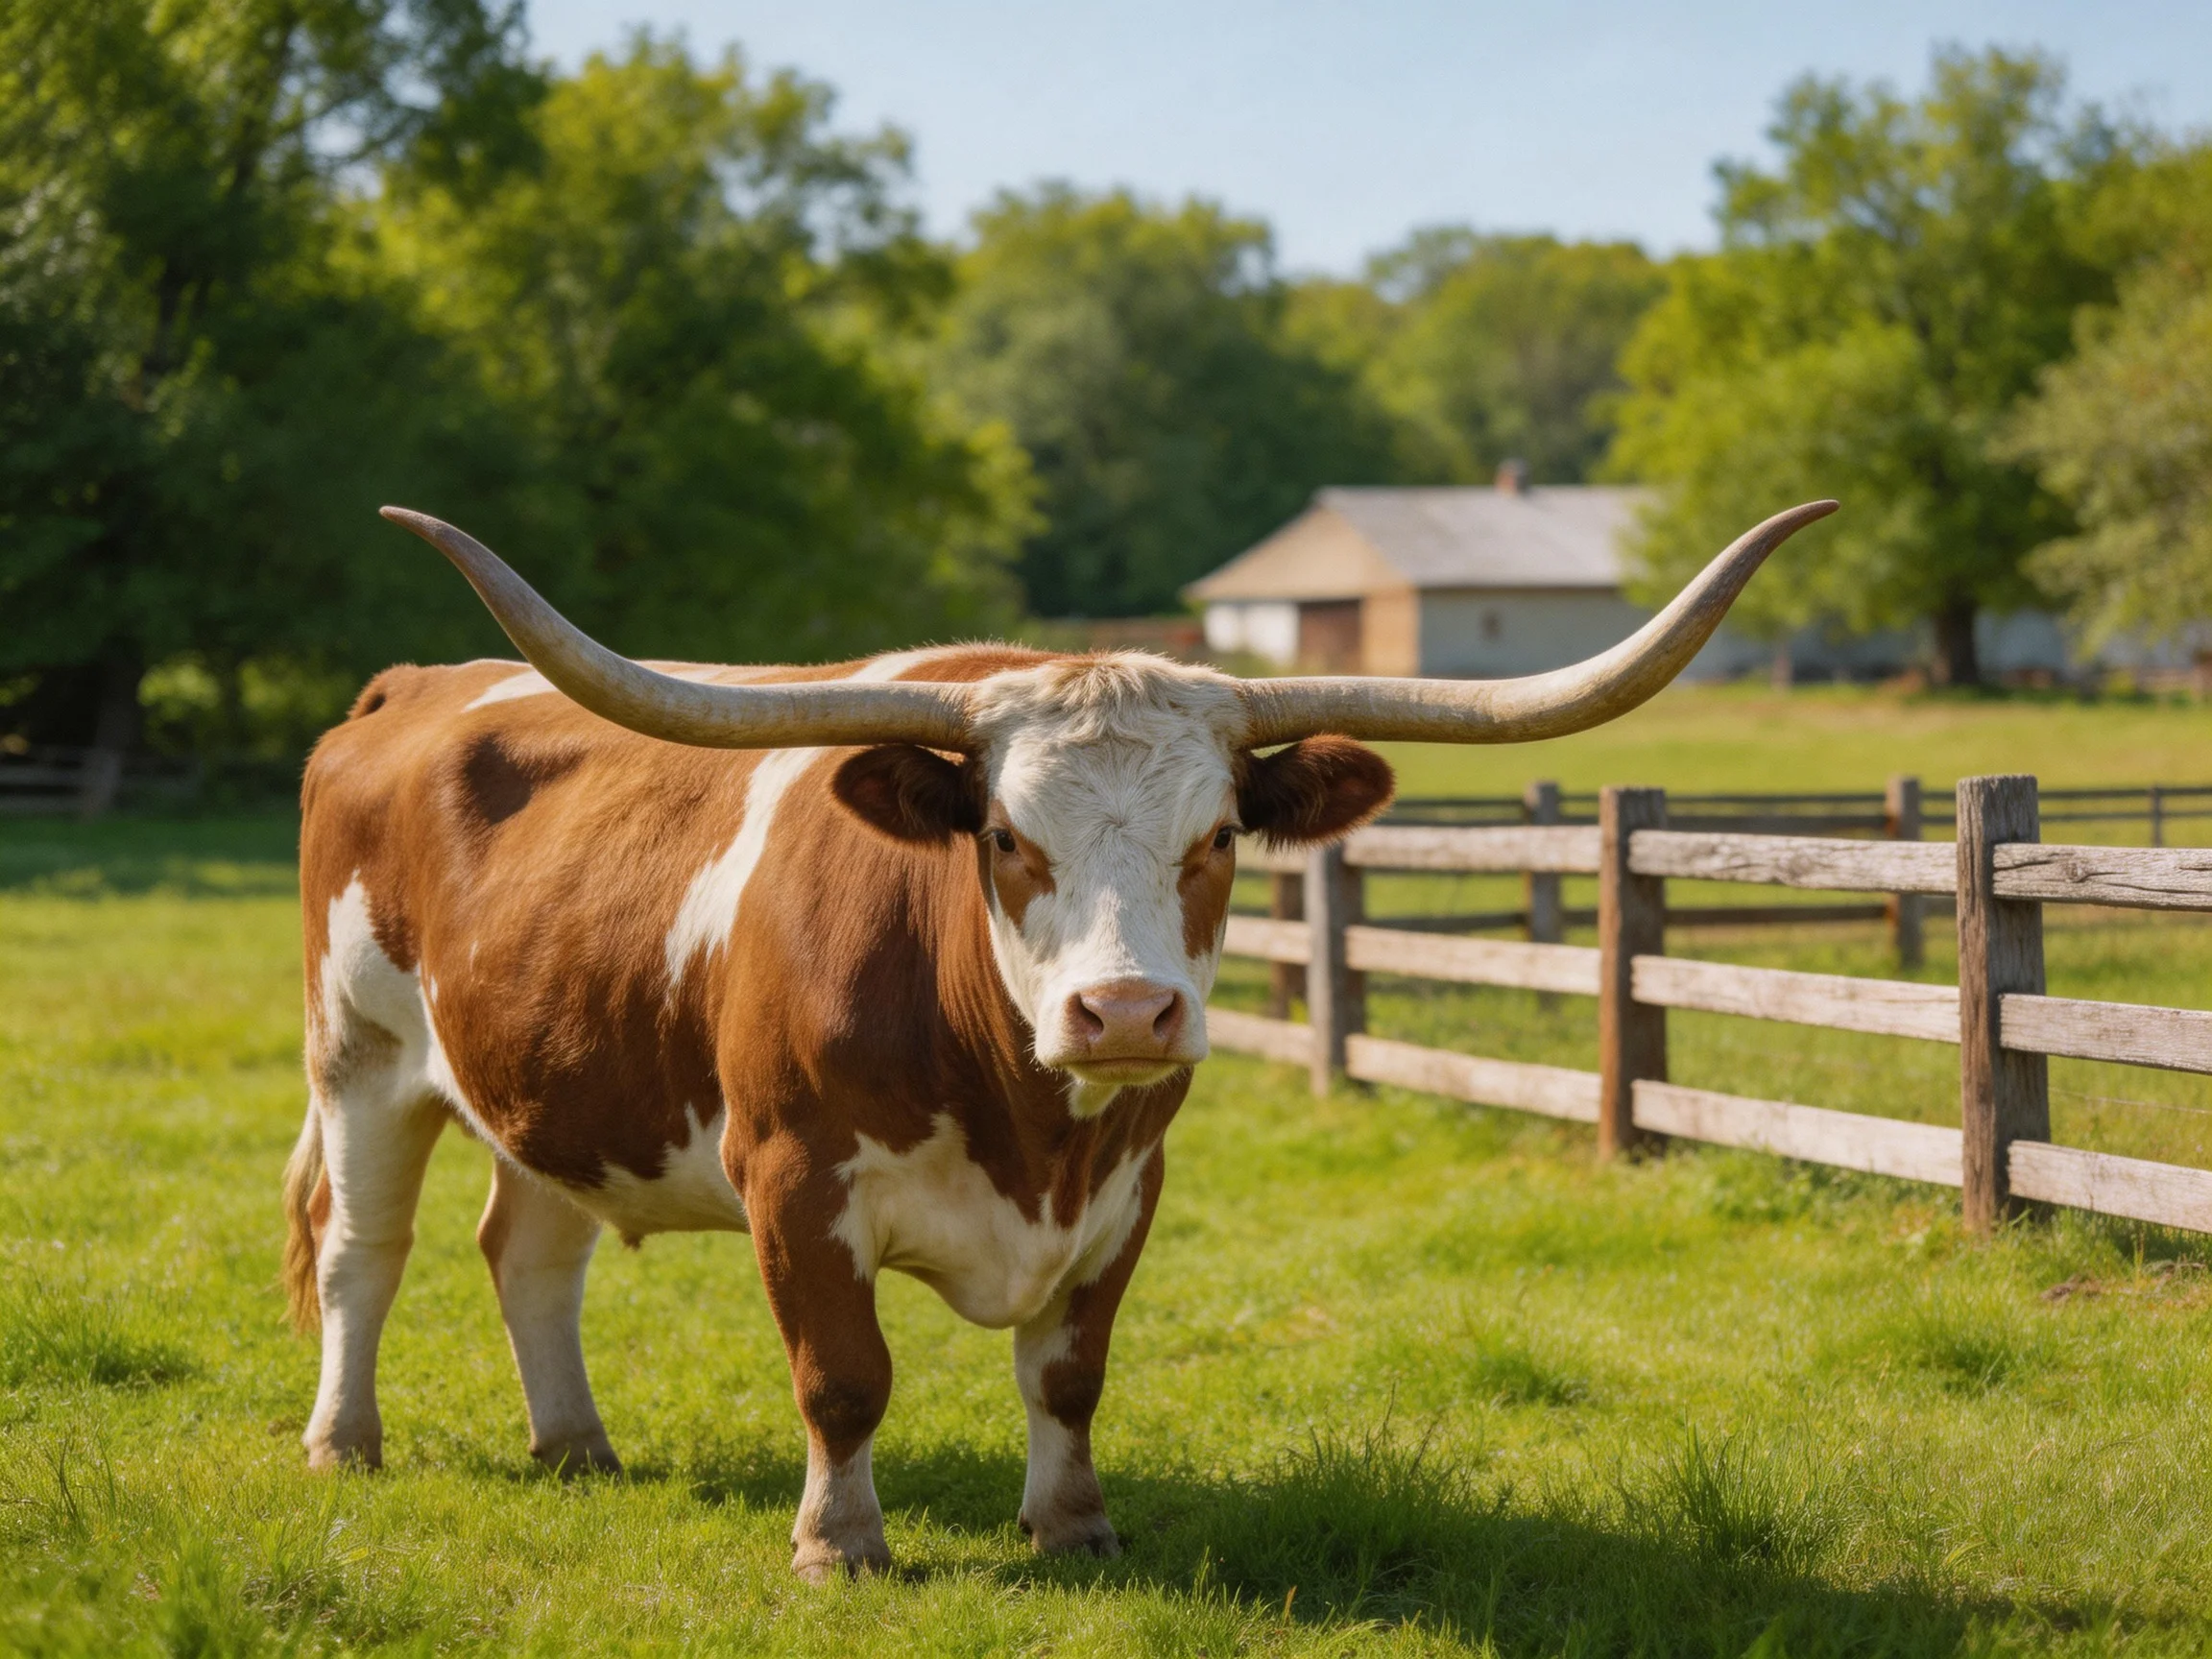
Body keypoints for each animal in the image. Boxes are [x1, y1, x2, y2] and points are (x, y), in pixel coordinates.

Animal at [282, 499, 1833, 1579]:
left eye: (1219, 838)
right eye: (1008, 836)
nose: (1128, 1011)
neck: (1027, 1125)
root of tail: (413, 686)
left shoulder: (1128, 1188)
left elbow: (1067, 1374)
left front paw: (1072, 1527)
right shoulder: (793, 1179)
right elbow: (845, 1377)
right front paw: (840, 1544)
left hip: (553, 1088)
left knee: (532, 1254)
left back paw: (578, 1448)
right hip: (359, 1055)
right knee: (366, 1251)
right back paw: (343, 1445)